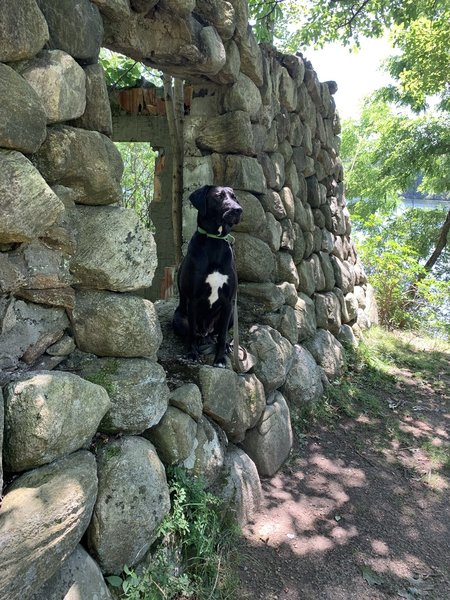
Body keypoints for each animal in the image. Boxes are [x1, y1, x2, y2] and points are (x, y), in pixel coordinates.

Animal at [172, 185, 243, 368]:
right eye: (218, 196)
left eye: (234, 196)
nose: (238, 210)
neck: (215, 241)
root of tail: (205, 332)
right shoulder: (193, 299)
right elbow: (191, 333)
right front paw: (191, 354)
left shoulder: (228, 302)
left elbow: (223, 335)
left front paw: (220, 359)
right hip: (179, 317)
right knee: (192, 333)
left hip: (231, 316)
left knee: (217, 334)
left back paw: (224, 346)